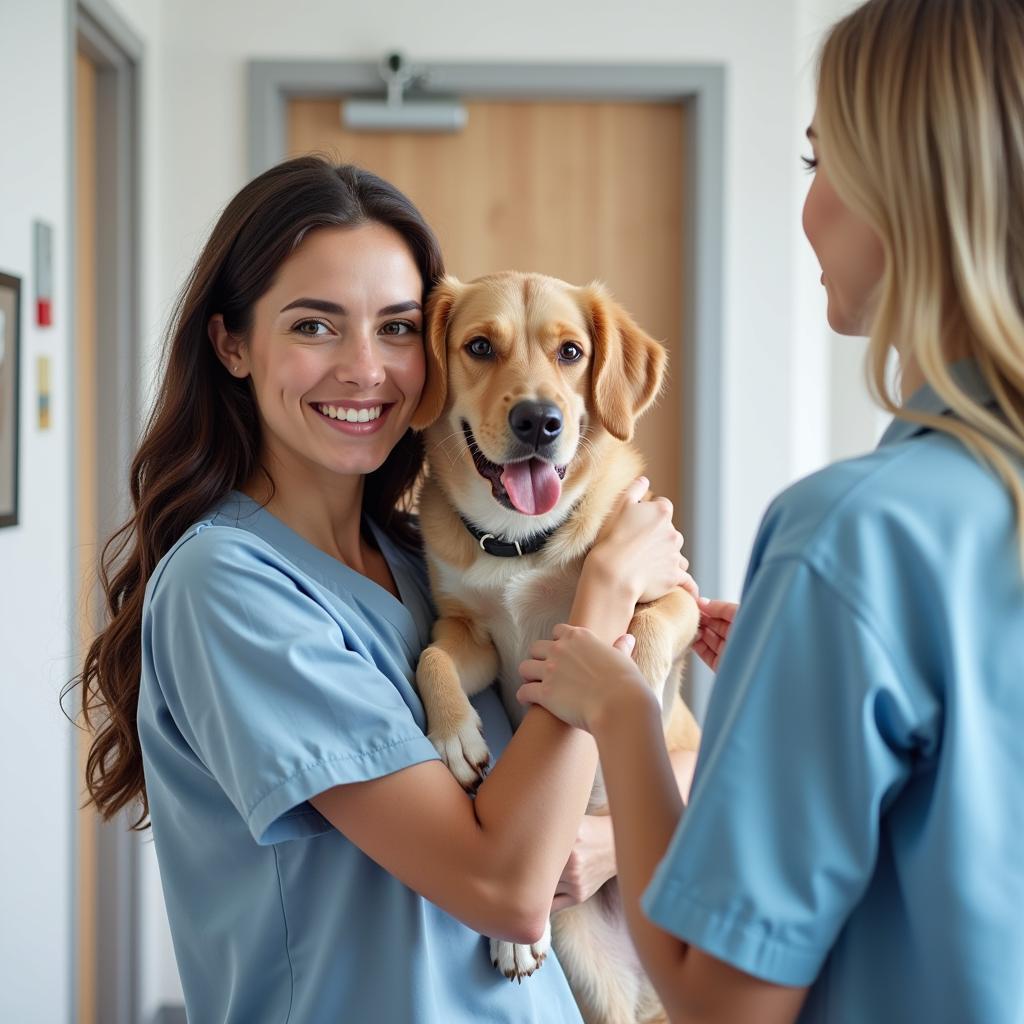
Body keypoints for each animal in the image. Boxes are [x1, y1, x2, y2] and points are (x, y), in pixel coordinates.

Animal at [411, 272, 700, 1024]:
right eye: (479, 347)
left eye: (571, 352)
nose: (539, 421)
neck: (520, 540)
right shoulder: (469, 633)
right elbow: (432, 657)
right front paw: (456, 734)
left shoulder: (677, 590)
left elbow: (649, 630)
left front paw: (631, 685)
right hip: (592, 974)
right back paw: (517, 939)